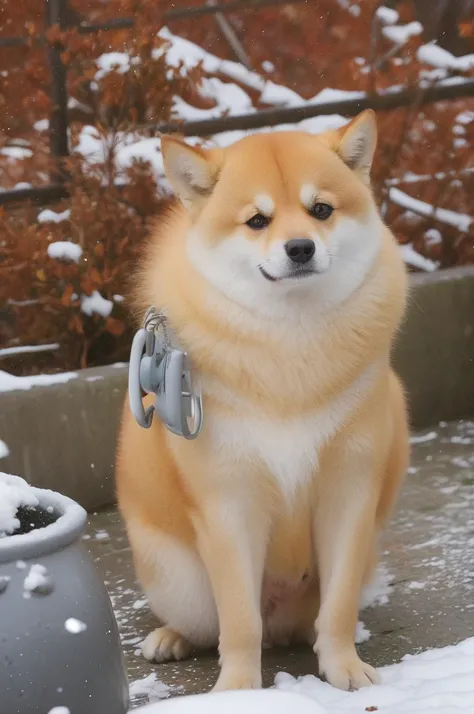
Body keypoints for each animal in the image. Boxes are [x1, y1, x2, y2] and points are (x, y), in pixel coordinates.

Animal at [116, 110, 410, 688]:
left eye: (321, 210)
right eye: (257, 220)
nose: (300, 248)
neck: (289, 345)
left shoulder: (349, 491)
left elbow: (338, 607)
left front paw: (343, 668)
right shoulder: (229, 502)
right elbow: (239, 621)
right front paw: (238, 690)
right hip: (182, 583)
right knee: (208, 624)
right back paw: (171, 638)